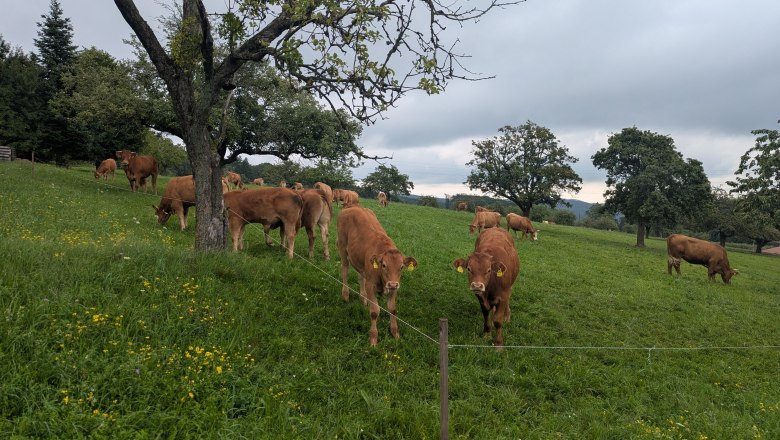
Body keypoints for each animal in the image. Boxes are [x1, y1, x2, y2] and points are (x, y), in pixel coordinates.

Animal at [337, 206, 418, 346]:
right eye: (384, 265)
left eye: (402, 267)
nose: (392, 284)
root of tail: (352, 207)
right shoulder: (371, 286)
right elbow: (375, 312)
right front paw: (373, 338)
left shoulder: (394, 288)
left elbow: (392, 309)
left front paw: (395, 333)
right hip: (343, 248)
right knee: (345, 270)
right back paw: (345, 295)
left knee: (361, 276)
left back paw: (363, 299)